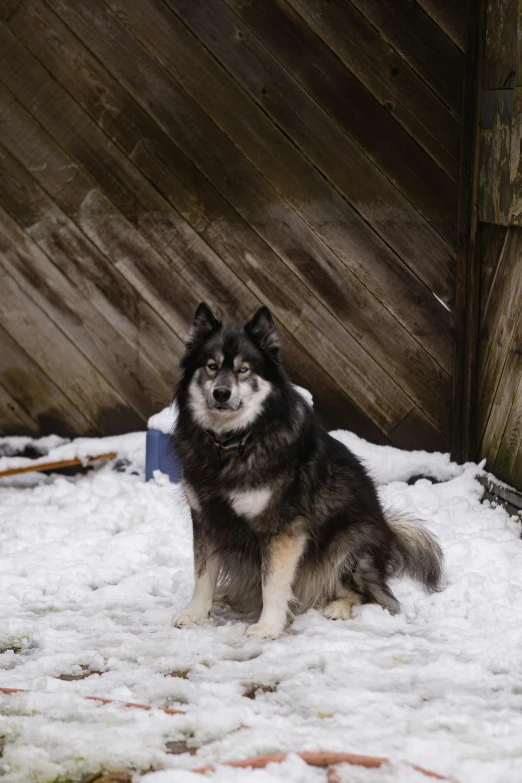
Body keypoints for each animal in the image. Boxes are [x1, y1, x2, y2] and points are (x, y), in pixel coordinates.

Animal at [173, 304, 440, 640]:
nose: (221, 393)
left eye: (243, 369)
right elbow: (203, 574)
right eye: (211, 366)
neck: (234, 442)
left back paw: (338, 607)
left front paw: (268, 627)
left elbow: (273, 584)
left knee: (368, 594)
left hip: (348, 543)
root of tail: (389, 533)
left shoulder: (283, 530)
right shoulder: (206, 519)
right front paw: (196, 613)